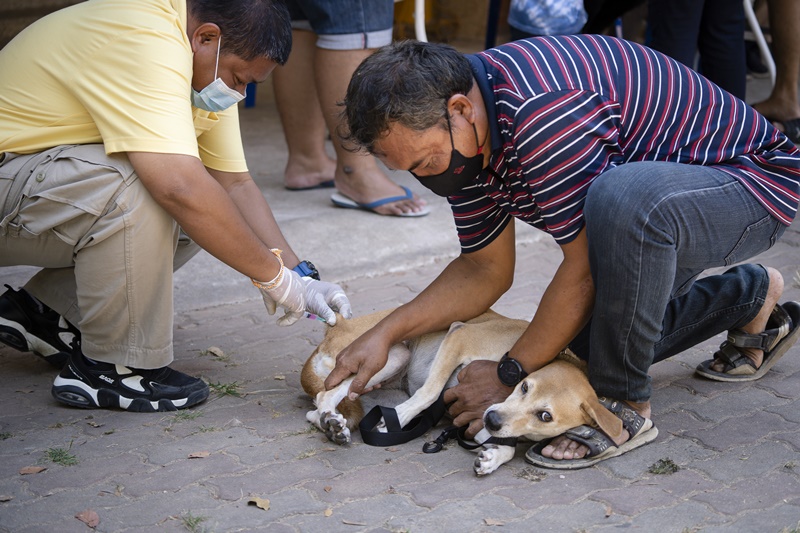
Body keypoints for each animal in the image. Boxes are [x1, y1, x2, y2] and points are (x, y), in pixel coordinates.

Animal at [300, 308, 624, 474]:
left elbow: (504, 444)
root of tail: (336, 326)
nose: (492, 419)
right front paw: (397, 419)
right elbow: (430, 393)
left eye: (546, 416)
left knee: (316, 410)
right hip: (389, 355)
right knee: (325, 395)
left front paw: (494, 457)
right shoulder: (459, 337)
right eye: (524, 385)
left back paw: (332, 424)